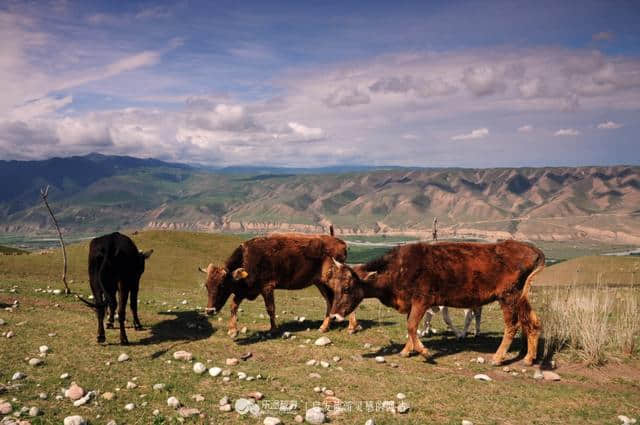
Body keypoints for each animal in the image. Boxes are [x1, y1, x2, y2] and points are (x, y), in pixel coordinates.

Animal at [200, 232, 360, 338]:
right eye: (207, 286)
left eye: (222, 285)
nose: (209, 311)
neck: (248, 259)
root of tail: (341, 243)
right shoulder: (245, 290)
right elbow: (233, 305)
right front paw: (233, 330)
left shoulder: (267, 287)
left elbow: (270, 308)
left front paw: (273, 329)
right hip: (320, 283)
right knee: (330, 300)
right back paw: (324, 327)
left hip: (332, 280)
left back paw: (352, 327)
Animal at [330, 238, 544, 364]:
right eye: (337, 287)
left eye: (347, 288)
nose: (333, 315)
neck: (398, 269)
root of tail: (531, 248)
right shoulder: (412, 303)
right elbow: (411, 327)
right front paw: (407, 350)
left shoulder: (422, 300)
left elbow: (411, 326)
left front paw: (424, 352)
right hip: (520, 297)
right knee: (533, 322)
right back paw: (529, 357)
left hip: (508, 296)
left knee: (513, 325)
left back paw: (498, 357)